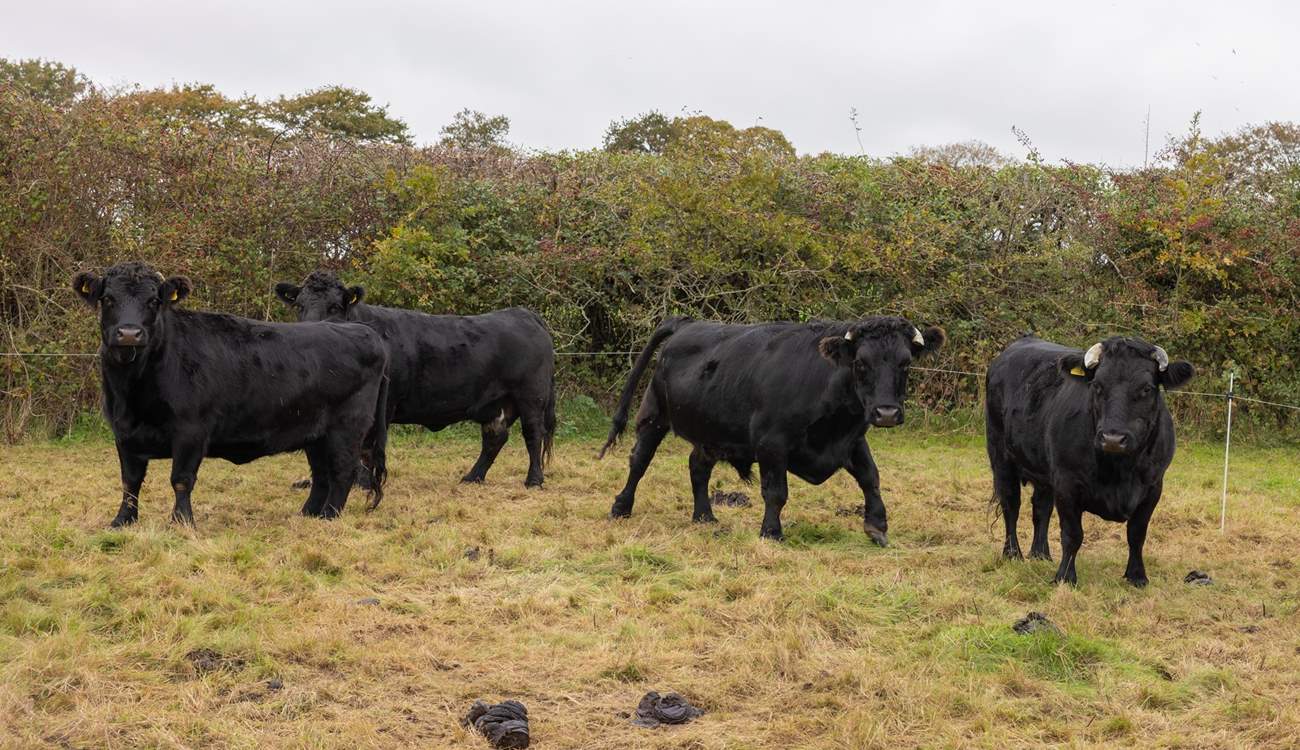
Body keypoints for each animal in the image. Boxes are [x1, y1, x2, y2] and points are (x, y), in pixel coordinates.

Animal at [73, 261, 389, 527]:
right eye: (108, 299)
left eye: (154, 301)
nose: (129, 333)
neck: (133, 391)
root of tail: (364, 331)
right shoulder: (123, 433)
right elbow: (130, 481)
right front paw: (122, 520)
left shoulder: (191, 431)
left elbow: (181, 480)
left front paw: (181, 522)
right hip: (315, 432)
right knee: (321, 473)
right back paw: (308, 513)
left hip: (347, 427)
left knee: (343, 470)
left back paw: (328, 516)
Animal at [274, 271, 557, 487]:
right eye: (299, 306)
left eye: (334, 307)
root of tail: (523, 314)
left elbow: (365, 445)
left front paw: (362, 482)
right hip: (498, 403)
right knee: (495, 437)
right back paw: (472, 477)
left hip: (531, 395)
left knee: (533, 433)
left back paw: (534, 480)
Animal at [599, 315, 945, 543]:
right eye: (861, 363)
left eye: (905, 363)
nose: (886, 413)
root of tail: (686, 323)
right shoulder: (772, 443)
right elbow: (776, 491)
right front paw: (771, 531)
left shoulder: (852, 440)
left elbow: (870, 477)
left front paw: (877, 525)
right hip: (655, 415)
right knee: (639, 461)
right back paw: (621, 507)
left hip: (710, 430)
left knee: (698, 467)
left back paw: (704, 516)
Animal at [985, 335, 1194, 586]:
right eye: (1097, 386)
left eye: (1147, 388)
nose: (1113, 438)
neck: (1121, 470)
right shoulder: (1067, 484)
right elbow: (1072, 534)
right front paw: (1065, 577)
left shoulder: (1153, 487)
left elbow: (1137, 534)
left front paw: (1137, 576)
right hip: (1000, 456)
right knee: (1011, 505)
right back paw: (1013, 554)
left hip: (1044, 471)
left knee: (1041, 509)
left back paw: (1040, 554)